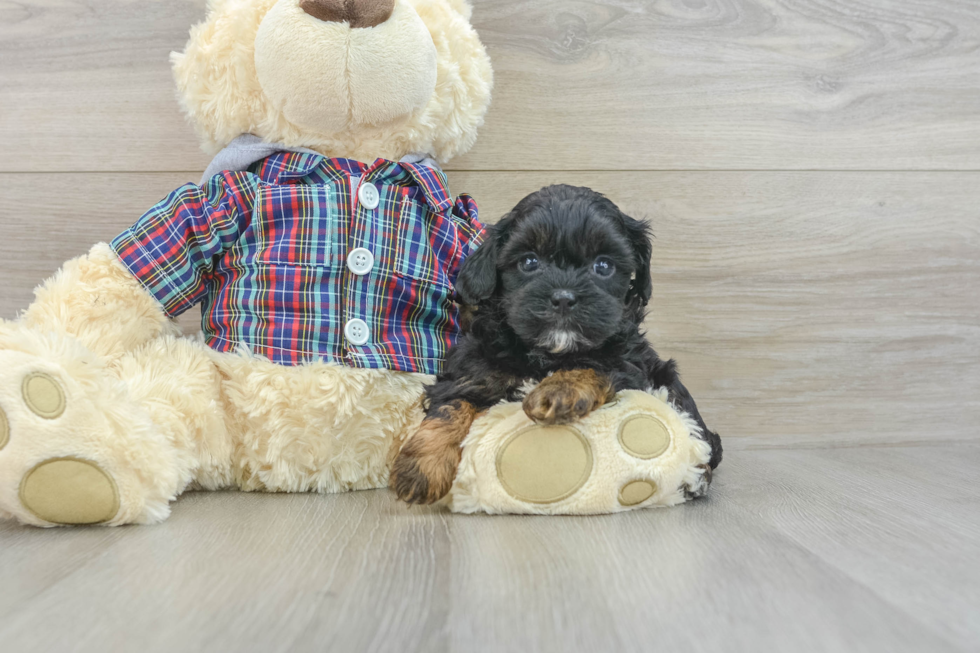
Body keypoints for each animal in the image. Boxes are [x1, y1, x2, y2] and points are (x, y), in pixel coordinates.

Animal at [390, 183, 720, 504]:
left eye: (603, 266)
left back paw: (696, 477)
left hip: (667, 379)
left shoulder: (629, 364)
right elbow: (451, 405)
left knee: (701, 437)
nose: (563, 298)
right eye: (529, 261)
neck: (549, 353)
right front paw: (421, 469)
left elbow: (595, 365)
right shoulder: (473, 369)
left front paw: (559, 390)